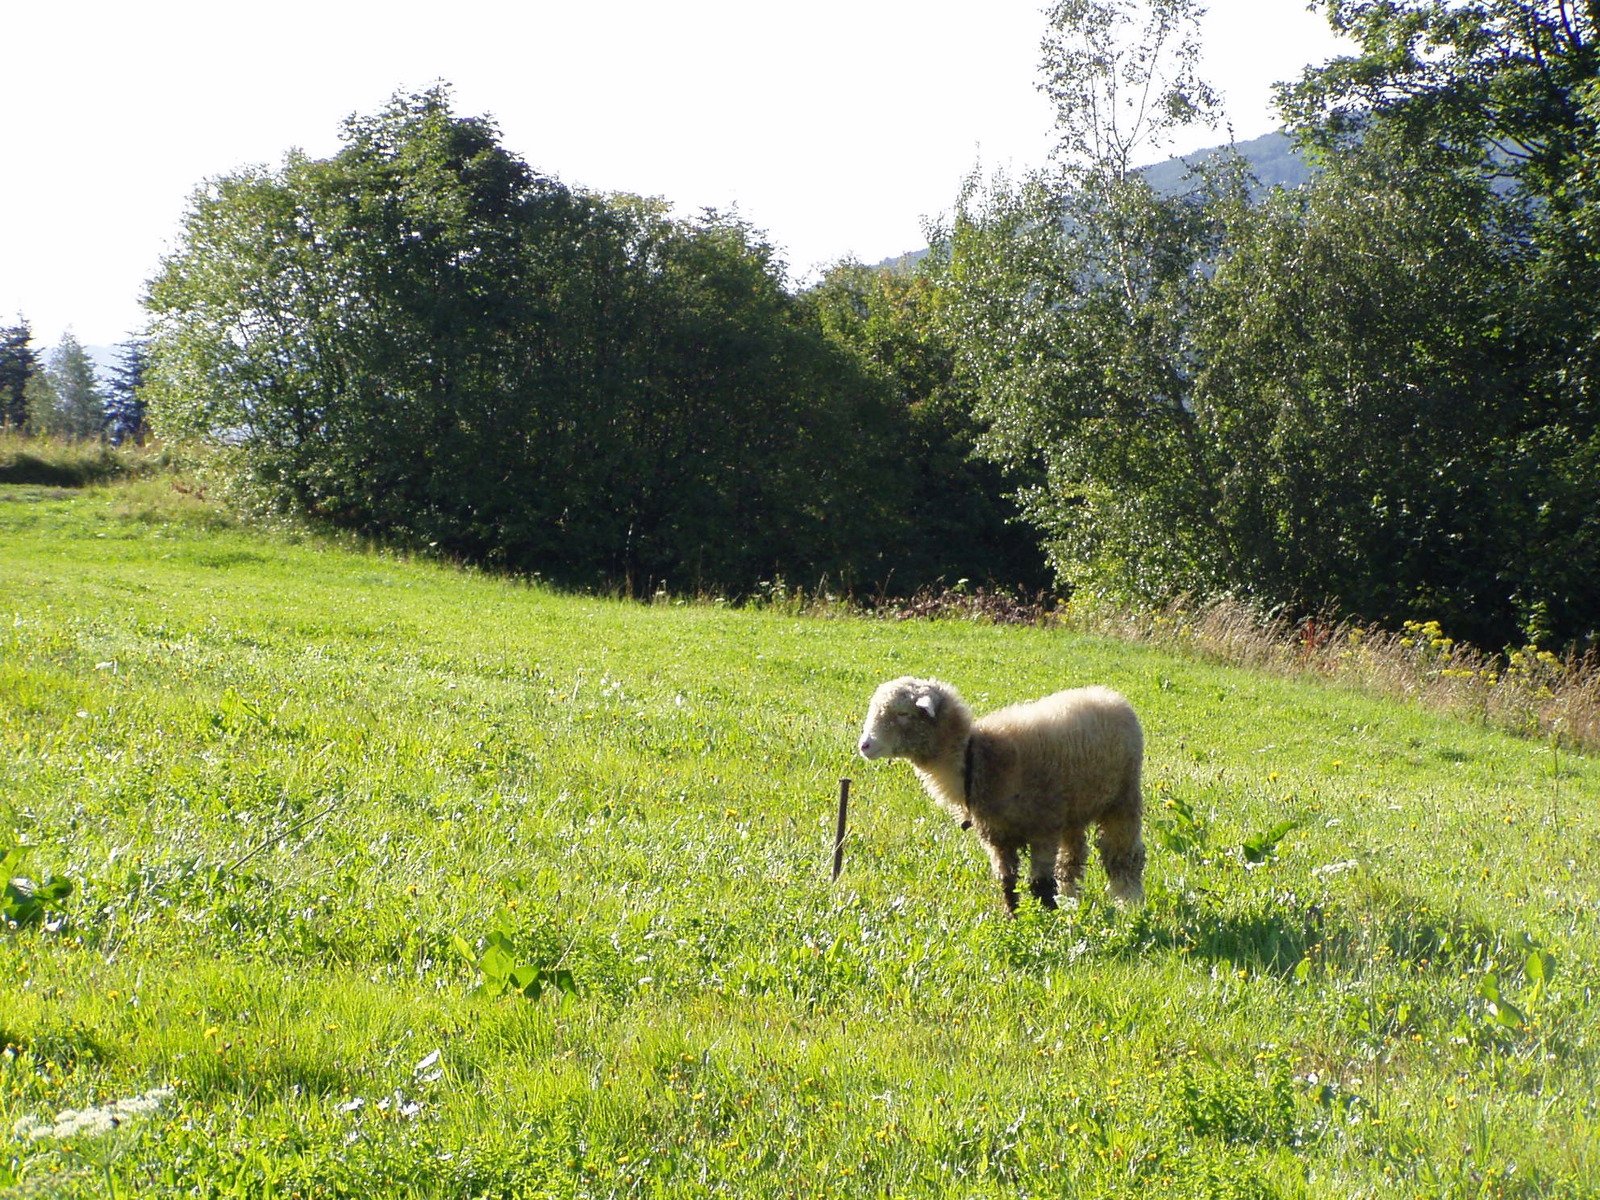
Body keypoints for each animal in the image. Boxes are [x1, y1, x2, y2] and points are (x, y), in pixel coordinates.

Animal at [857, 678, 1145, 921]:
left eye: (903, 714)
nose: (864, 746)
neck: (974, 757)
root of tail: (1110, 695)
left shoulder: (1043, 828)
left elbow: (1040, 884)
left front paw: (1046, 920)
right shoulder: (996, 835)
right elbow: (1007, 881)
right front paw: (1013, 918)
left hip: (1123, 798)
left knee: (1123, 855)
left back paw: (1129, 901)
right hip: (1074, 809)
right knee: (1072, 857)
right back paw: (1071, 898)